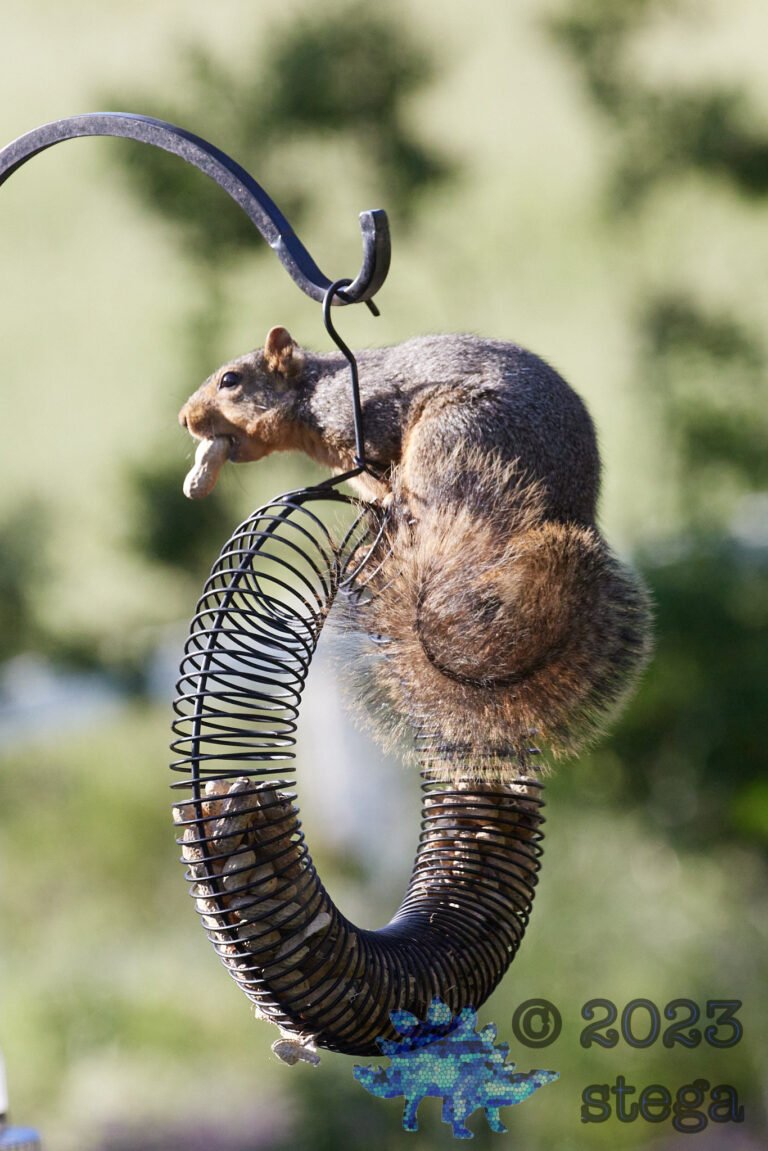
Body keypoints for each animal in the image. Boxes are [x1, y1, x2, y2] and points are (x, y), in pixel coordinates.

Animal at [179, 325, 652, 779]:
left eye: (230, 380)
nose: (184, 419)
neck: (312, 396)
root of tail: (574, 510)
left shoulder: (365, 417)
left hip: (455, 437)